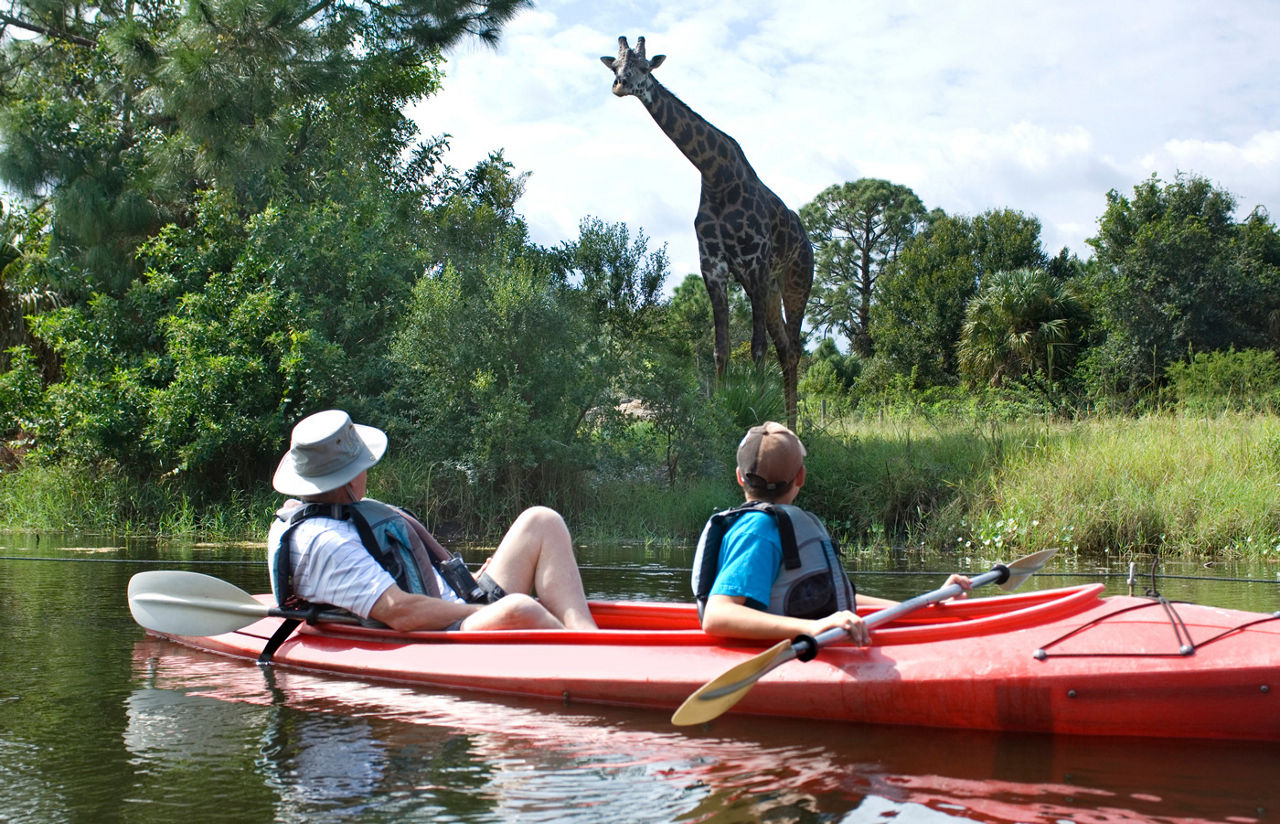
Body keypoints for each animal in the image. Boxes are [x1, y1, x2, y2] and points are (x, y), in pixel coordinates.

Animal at [600, 35, 812, 429]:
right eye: (616, 65)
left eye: (643, 67)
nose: (620, 85)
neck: (716, 176)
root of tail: (808, 242)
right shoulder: (713, 265)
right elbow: (721, 348)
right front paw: (719, 409)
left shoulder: (754, 263)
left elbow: (755, 347)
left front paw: (756, 409)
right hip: (771, 288)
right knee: (785, 347)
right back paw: (789, 421)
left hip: (795, 282)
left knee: (792, 348)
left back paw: (793, 426)